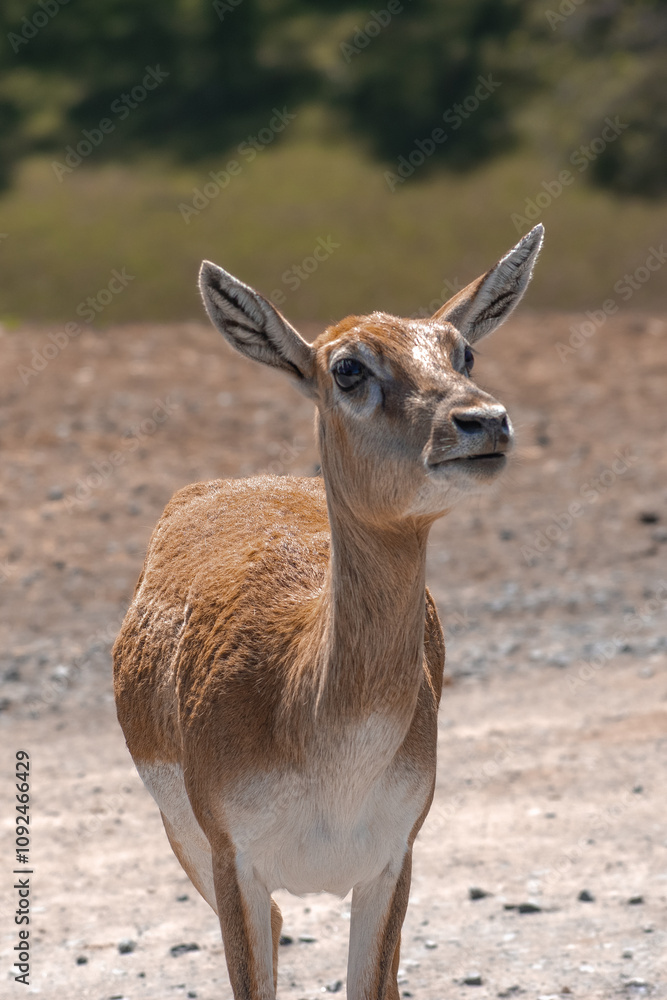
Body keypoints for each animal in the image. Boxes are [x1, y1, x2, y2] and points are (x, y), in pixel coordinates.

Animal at [113, 223, 543, 1000]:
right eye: (347, 368)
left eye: (462, 350)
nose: (483, 420)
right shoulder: (233, 859)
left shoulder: (392, 859)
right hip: (182, 839)